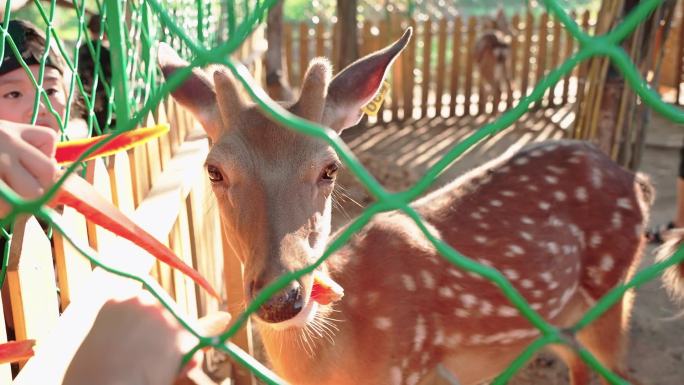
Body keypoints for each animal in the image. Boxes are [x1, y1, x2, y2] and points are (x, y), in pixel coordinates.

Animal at [159, 27, 680, 384]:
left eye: (331, 167)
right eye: (214, 170)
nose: (281, 298)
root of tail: (636, 181)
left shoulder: (415, 368)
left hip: (612, 289)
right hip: (567, 319)